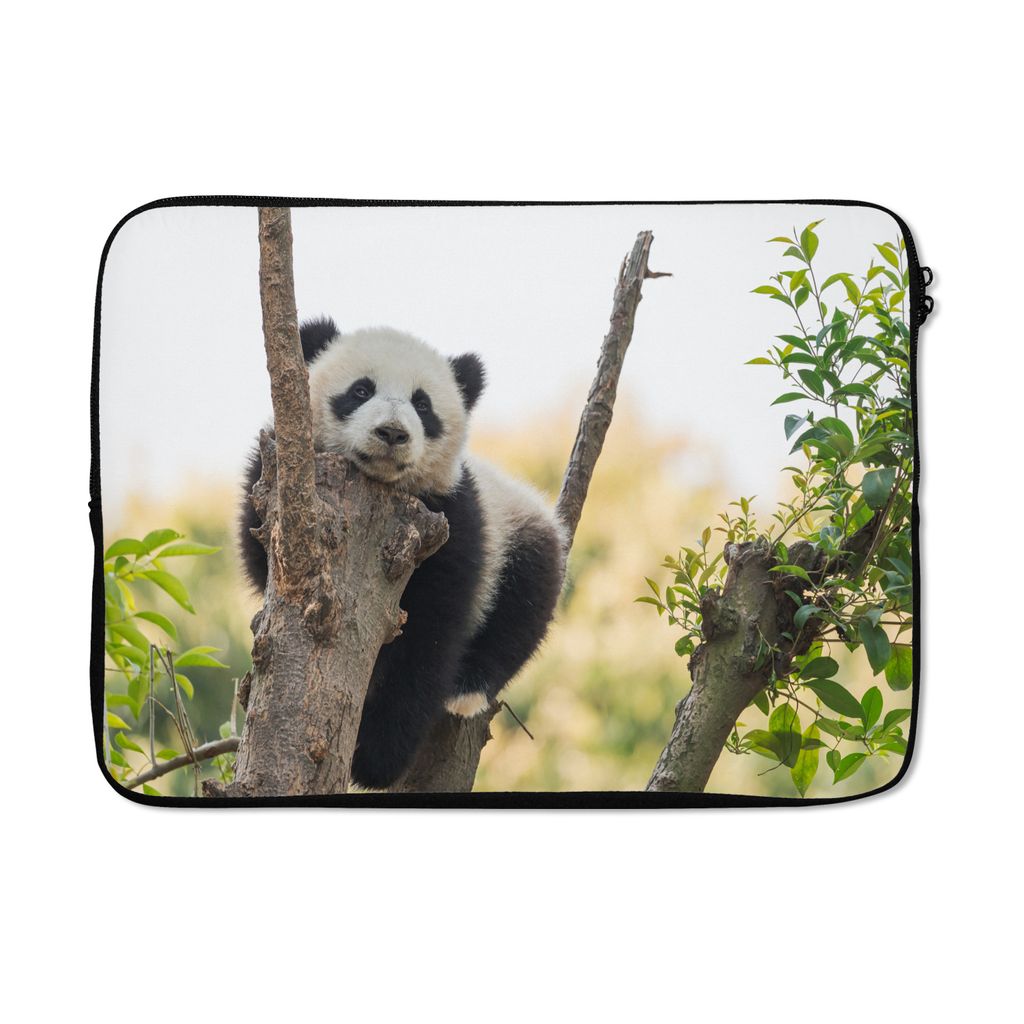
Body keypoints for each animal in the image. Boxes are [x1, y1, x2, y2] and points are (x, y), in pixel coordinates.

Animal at [239, 317, 565, 790]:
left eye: (422, 405)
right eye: (360, 390)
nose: (393, 433)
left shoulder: (453, 519)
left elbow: (431, 635)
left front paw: (374, 759)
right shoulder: (273, 486)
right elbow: (259, 552)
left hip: (519, 530)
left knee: (523, 606)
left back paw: (467, 689)